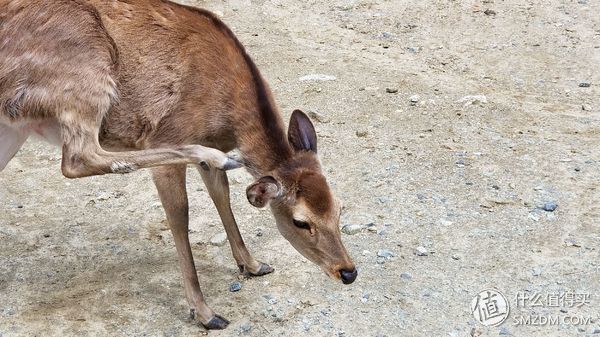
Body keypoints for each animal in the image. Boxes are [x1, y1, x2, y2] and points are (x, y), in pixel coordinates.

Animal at [0, 0, 356, 328]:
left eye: (339, 208)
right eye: (300, 222)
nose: (348, 272)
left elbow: (222, 196)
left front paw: (253, 265)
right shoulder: (169, 137)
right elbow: (180, 216)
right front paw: (206, 313)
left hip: (14, 128)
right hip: (86, 67)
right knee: (77, 158)